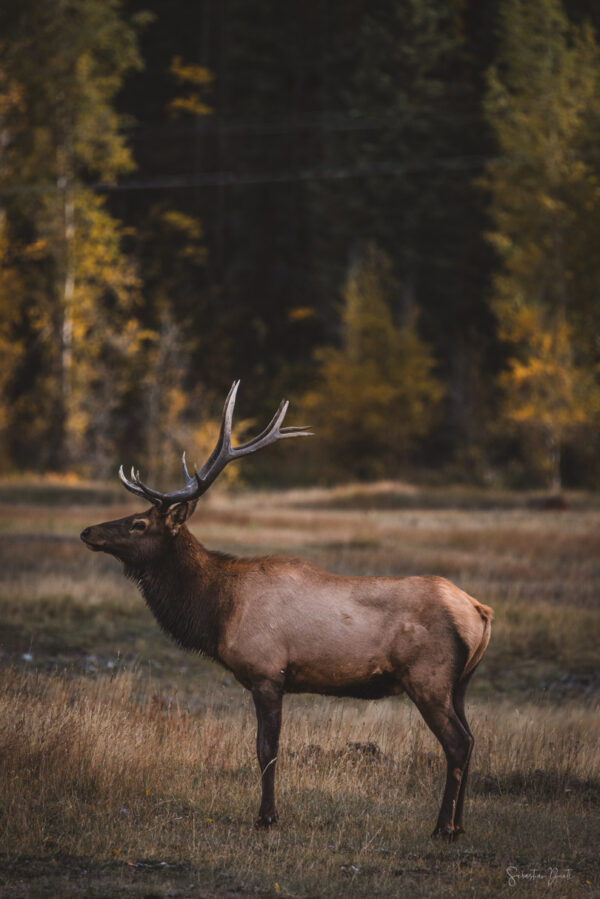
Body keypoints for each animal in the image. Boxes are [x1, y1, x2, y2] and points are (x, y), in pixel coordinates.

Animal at [81, 378, 492, 836]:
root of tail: (479, 611)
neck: (217, 610)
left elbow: (266, 748)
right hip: (461, 682)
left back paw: (442, 827)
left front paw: (267, 816)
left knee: (457, 743)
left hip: (428, 677)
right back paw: (459, 825)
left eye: (139, 523)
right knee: (472, 739)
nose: (88, 531)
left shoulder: (266, 672)